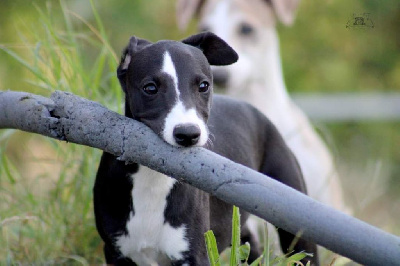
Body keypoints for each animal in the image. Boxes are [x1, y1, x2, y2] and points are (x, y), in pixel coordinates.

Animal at [94, 32, 318, 264]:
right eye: (150, 88)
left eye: (203, 86)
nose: (188, 134)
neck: (153, 179)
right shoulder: (116, 252)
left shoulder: (196, 255)